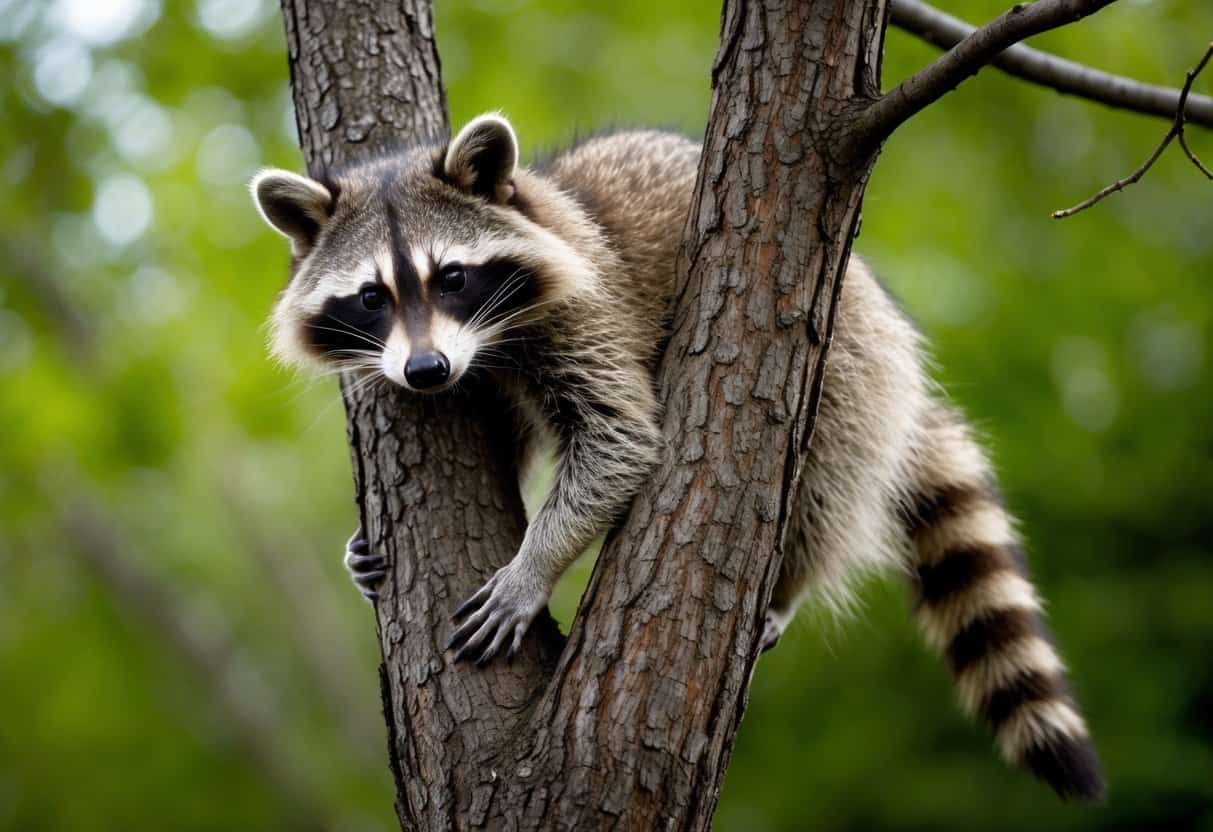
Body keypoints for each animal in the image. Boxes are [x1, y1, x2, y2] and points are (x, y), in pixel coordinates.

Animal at [251, 113, 1104, 801]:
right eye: (372, 297)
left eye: (451, 277)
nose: (425, 372)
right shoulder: (482, 364)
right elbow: (516, 436)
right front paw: (364, 548)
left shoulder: (587, 310)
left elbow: (619, 440)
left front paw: (534, 562)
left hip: (849, 366)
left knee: (824, 485)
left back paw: (790, 581)